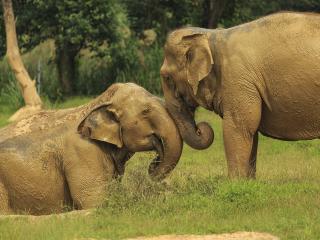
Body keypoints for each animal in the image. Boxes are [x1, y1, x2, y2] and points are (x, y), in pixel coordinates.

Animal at [160, 12, 320, 178]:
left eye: (167, 77)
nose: (200, 128)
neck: (211, 36)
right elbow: (251, 132)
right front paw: (248, 181)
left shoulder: (237, 79)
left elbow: (238, 127)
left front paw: (234, 181)